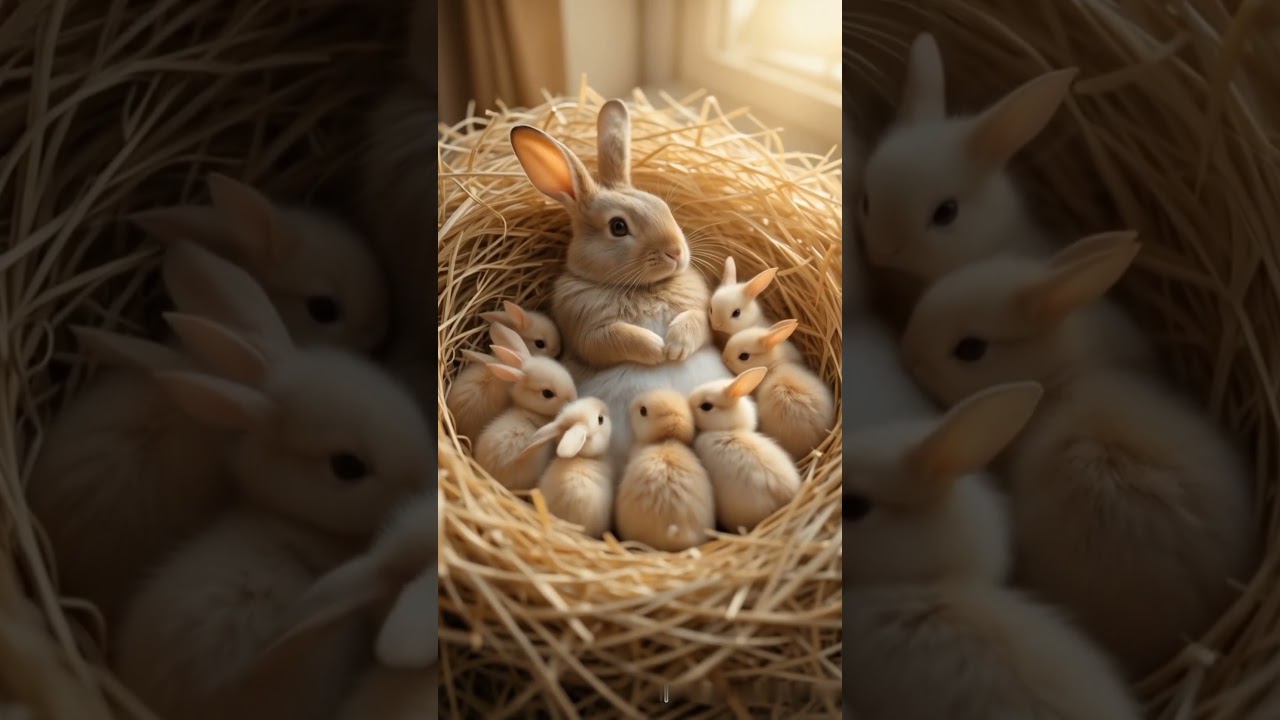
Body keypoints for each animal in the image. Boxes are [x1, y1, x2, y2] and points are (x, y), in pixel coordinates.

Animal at [510, 99, 733, 469]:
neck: (642, 288)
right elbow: (617, 338)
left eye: (664, 206)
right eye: (618, 227)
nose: (676, 252)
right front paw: (657, 349)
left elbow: (696, 323)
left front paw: (674, 347)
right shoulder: (588, 331)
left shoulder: (701, 311)